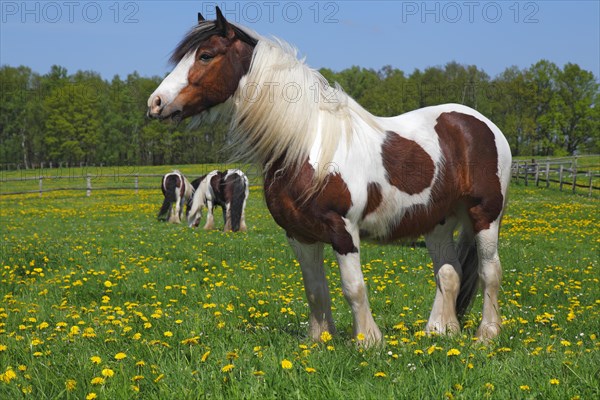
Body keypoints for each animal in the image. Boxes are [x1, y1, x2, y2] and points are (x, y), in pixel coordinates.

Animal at [148, 7, 512, 346]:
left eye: (206, 55)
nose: (156, 103)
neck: (306, 146)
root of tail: (480, 123)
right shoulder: (300, 234)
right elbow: (315, 289)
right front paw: (319, 339)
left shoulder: (343, 230)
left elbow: (353, 287)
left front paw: (368, 341)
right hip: (437, 221)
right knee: (449, 272)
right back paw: (441, 331)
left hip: (484, 214)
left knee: (489, 270)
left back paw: (487, 334)